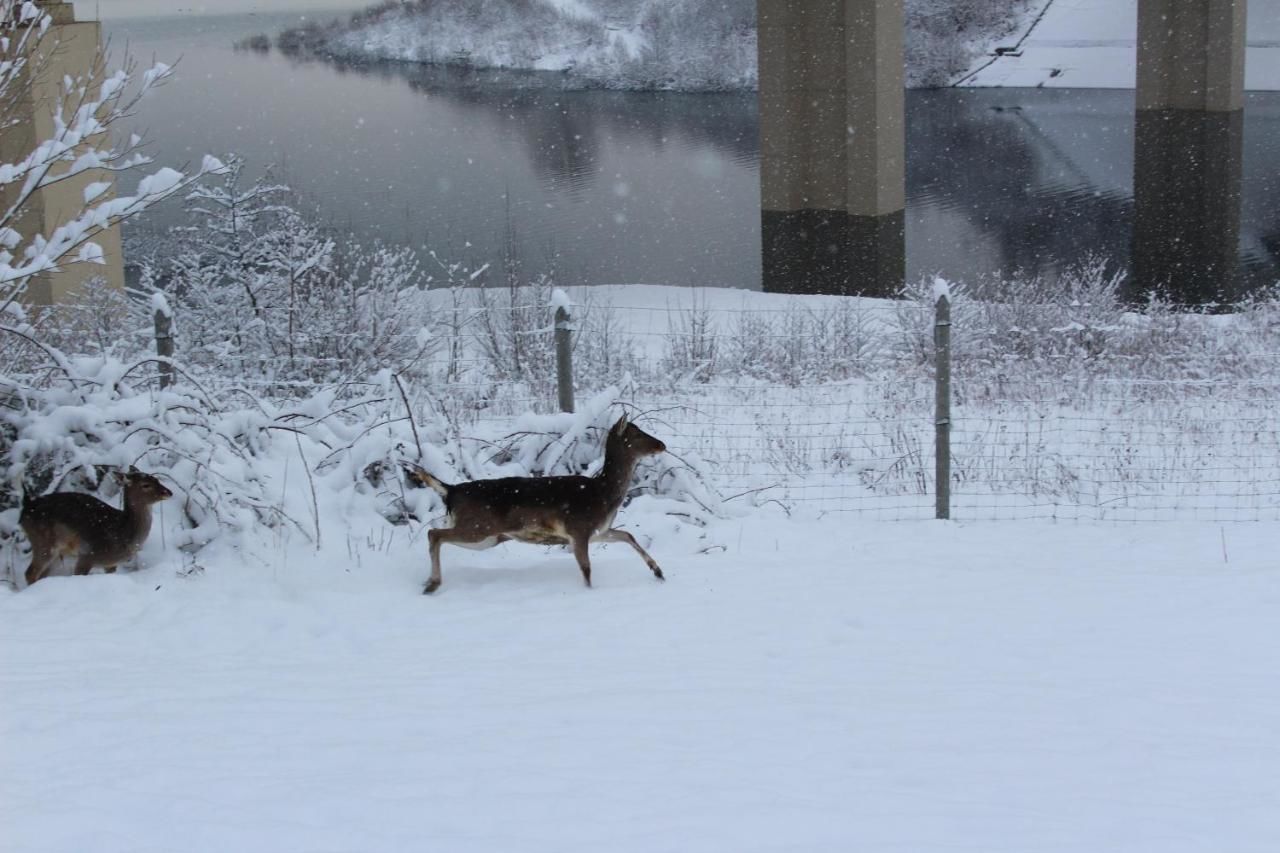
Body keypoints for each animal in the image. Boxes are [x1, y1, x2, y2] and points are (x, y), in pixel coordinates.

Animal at [20, 466, 172, 584]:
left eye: (157, 479)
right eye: (146, 485)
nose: (169, 492)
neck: (122, 532)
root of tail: (26, 509)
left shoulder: (110, 563)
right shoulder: (87, 554)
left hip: (58, 552)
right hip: (43, 541)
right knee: (30, 573)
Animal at [407, 412, 670, 591]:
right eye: (636, 433)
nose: (662, 444)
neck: (604, 495)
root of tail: (451, 491)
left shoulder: (598, 531)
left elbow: (628, 535)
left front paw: (658, 571)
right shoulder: (579, 529)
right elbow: (586, 568)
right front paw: (589, 591)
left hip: (486, 537)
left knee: (436, 535)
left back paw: (429, 581)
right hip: (479, 528)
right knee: (434, 533)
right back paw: (432, 583)